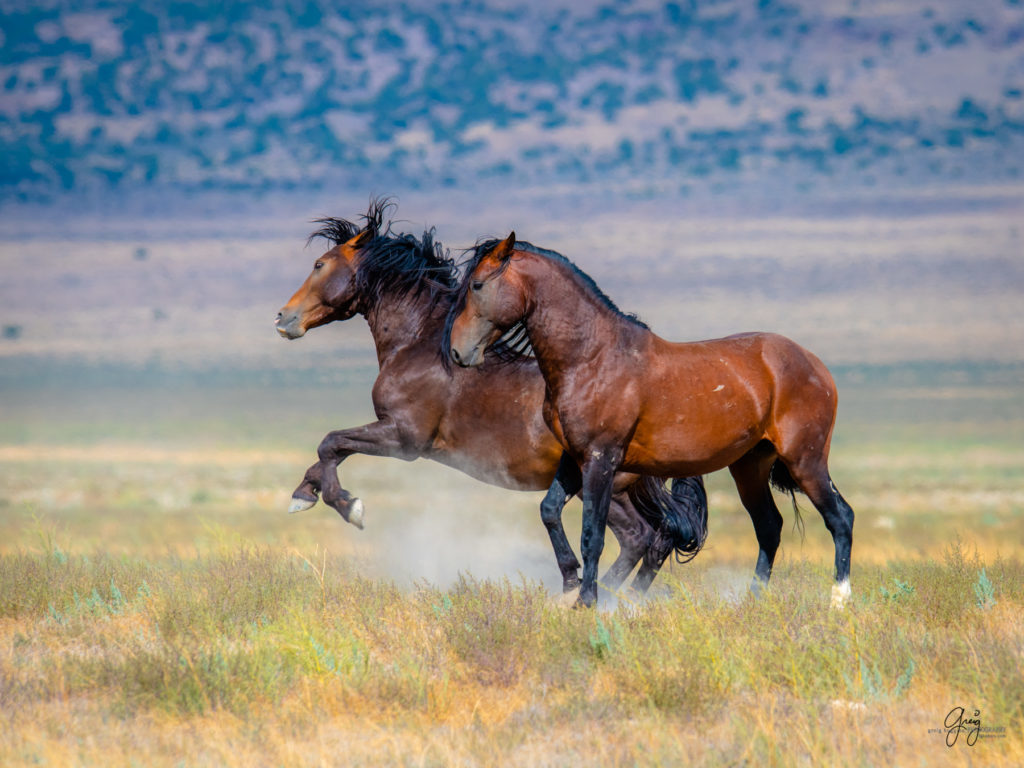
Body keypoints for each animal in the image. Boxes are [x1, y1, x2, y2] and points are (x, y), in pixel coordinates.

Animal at [272, 202, 708, 593]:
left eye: (319, 265)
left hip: (601, 483)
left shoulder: (403, 438)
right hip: (619, 487)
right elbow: (327, 452)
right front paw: (304, 495)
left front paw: (348, 506)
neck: (420, 344)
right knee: (651, 538)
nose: (283, 318)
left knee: (640, 537)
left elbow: (330, 443)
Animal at [448, 231, 856, 610]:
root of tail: (814, 364)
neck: (593, 357)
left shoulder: (601, 460)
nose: (456, 352)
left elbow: (592, 533)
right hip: (750, 466)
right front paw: (571, 583)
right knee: (769, 527)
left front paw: (587, 601)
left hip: (805, 460)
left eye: (477, 285)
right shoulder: (574, 457)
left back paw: (839, 601)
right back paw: (752, 601)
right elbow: (550, 511)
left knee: (840, 518)